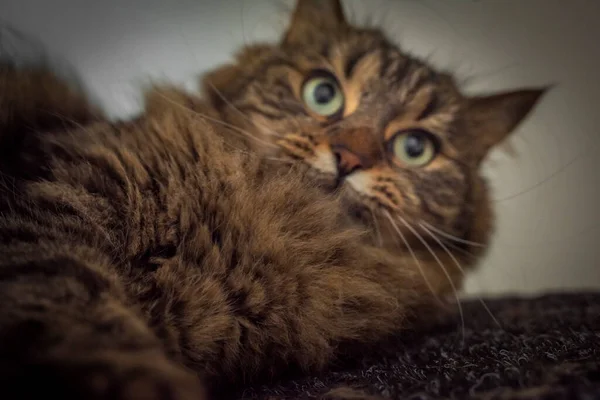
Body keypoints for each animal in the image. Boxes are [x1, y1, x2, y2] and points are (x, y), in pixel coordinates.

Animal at [0, 0, 548, 400]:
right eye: (323, 93)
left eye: (415, 148)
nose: (349, 157)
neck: (275, 220)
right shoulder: (62, 210)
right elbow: (82, 307)